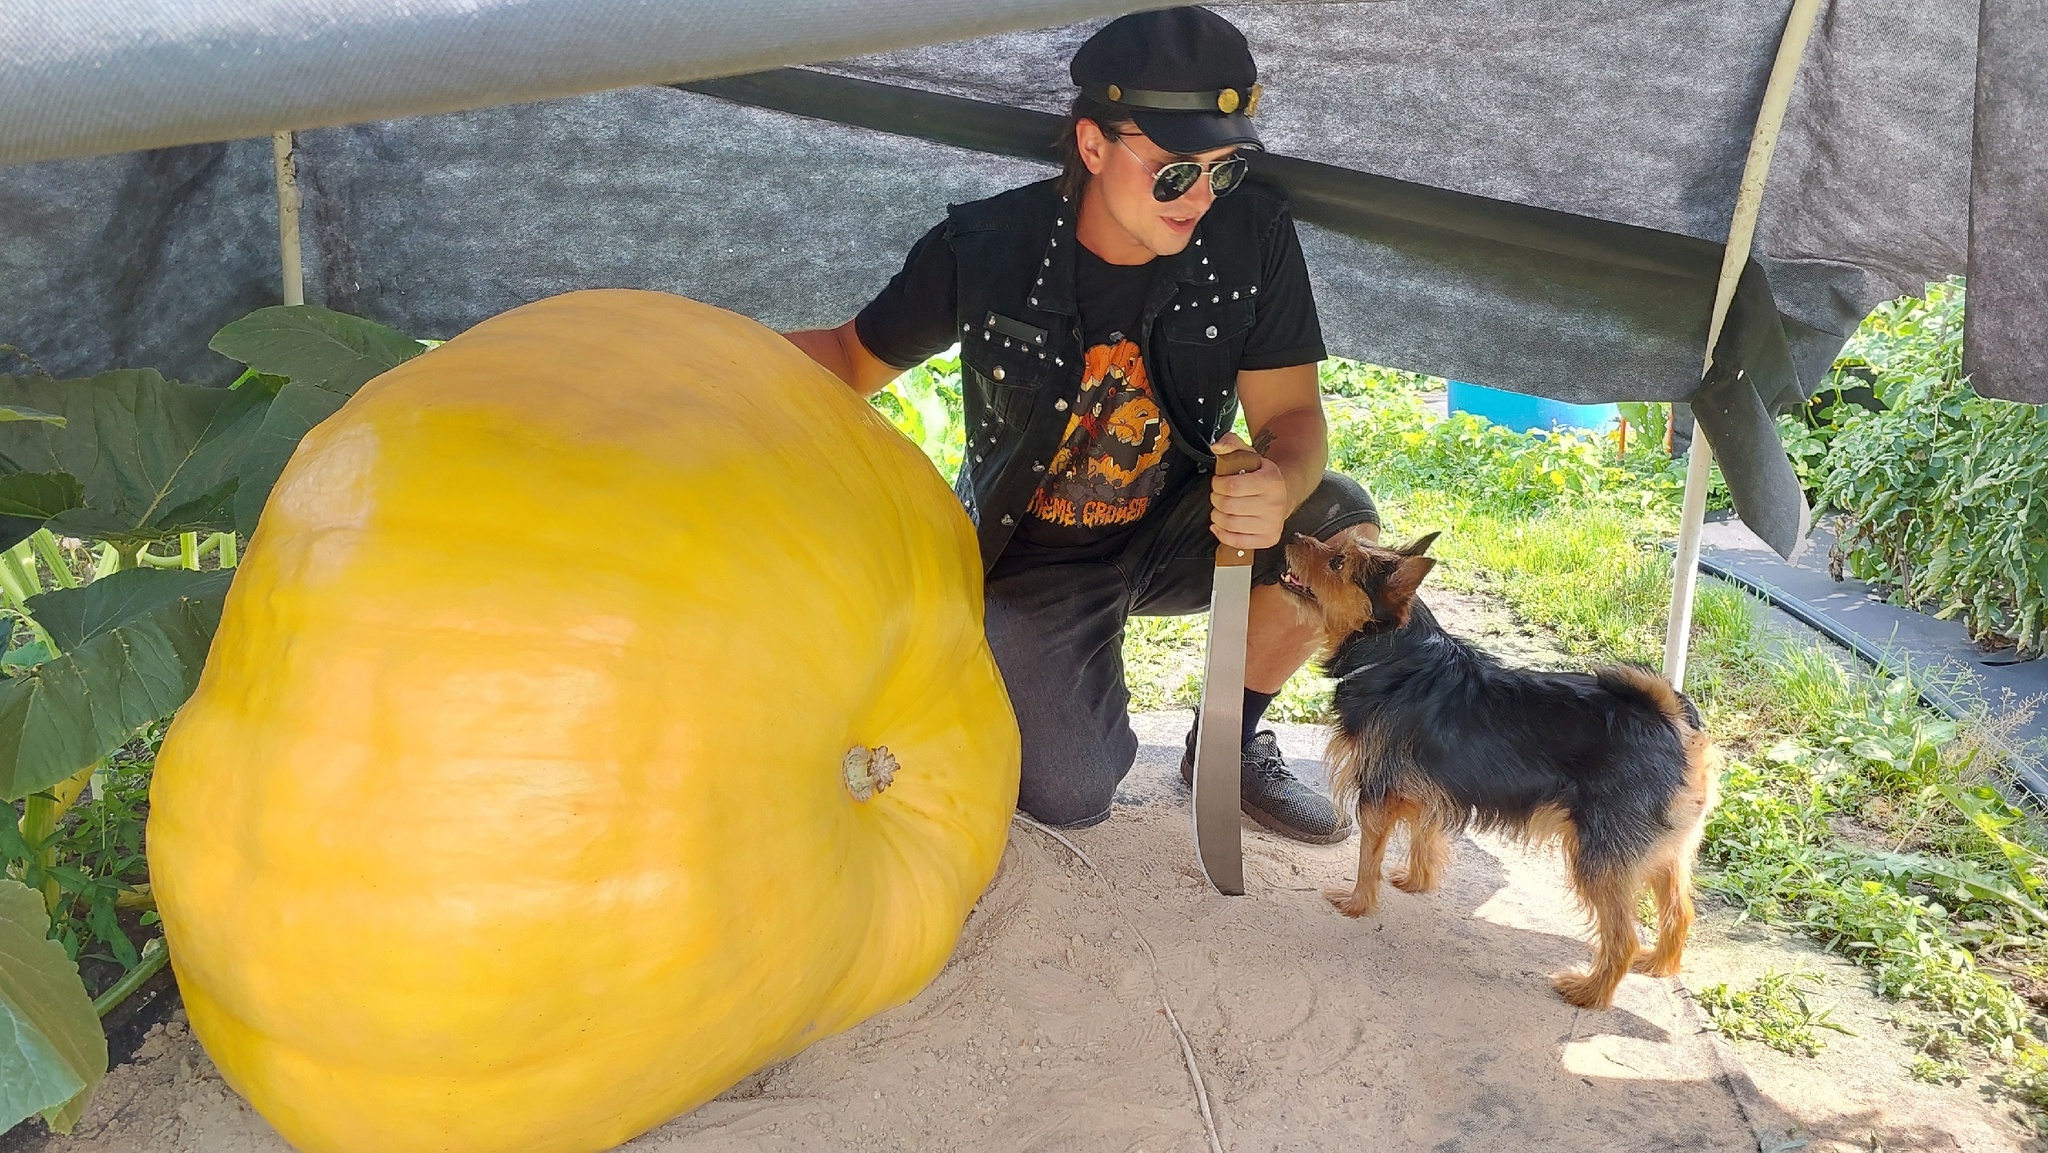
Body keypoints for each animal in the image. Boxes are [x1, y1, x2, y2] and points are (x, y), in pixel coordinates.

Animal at [1286, 532, 1720, 1011]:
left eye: (1338, 562)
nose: (1293, 535)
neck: (1393, 655)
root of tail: (1671, 719)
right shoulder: (1426, 788)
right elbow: (1425, 835)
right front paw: (1416, 880)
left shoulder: (1378, 794)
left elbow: (1368, 860)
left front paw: (1357, 903)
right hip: (1665, 852)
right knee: (1679, 912)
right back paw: (1659, 965)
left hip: (1601, 857)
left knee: (1622, 937)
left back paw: (1589, 992)